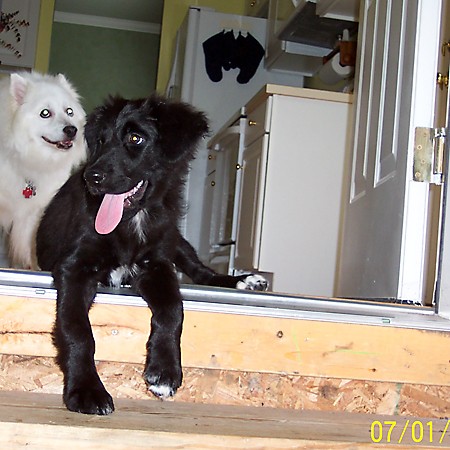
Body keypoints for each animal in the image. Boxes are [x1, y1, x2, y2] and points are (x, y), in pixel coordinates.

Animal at [37, 96, 268, 416]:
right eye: (101, 140)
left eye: (136, 138)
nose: (91, 178)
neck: (132, 220)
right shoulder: (74, 267)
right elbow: (77, 329)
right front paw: (86, 390)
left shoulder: (156, 264)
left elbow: (174, 309)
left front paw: (164, 372)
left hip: (173, 237)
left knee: (201, 271)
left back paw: (245, 280)